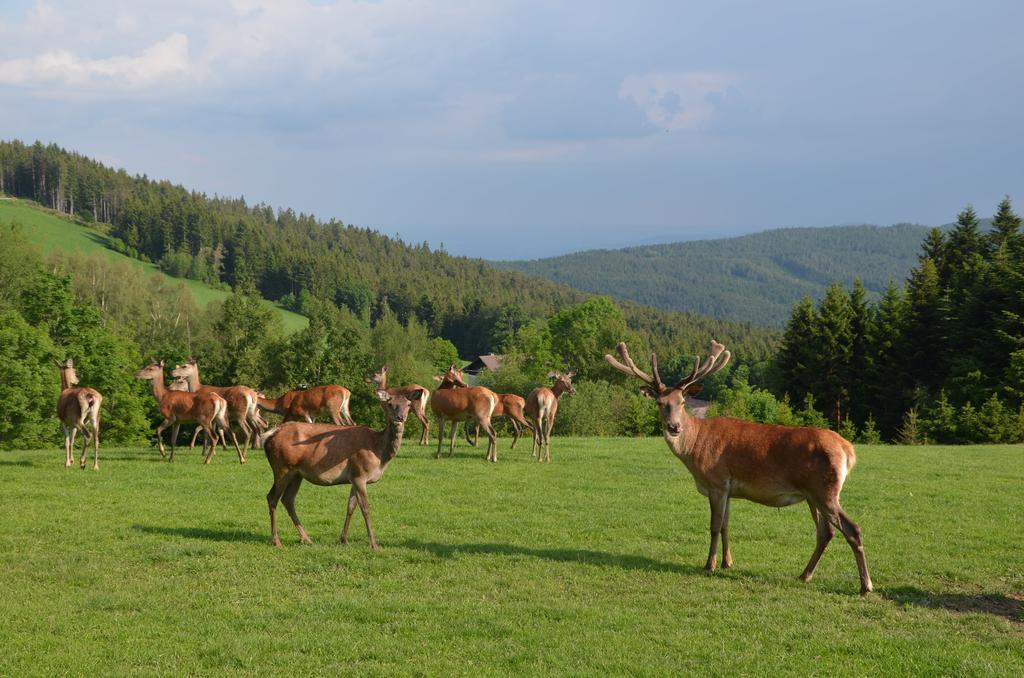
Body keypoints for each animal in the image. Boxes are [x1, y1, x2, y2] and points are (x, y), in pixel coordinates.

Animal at [264, 391, 428, 548]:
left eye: (408, 404)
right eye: (390, 403)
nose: (399, 418)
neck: (379, 452)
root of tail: (269, 437)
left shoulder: (353, 476)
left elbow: (350, 507)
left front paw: (343, 539)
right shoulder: (360, 474)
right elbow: (365, 509)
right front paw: (373, 543)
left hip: (297, 474)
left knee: (288, 499)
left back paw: (306, 538)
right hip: (282, 467)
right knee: (272, 497)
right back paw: (276, 541)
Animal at [602, 340, 876, 594]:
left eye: (682, 401)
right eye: (660, 403)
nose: (674, 427)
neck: (694, 449)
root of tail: (848, 450)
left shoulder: (717, 481)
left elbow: (714, 526)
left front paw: (709, 565)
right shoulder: (730, 489)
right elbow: (726, 525)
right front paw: (728, 562)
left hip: (825, 490)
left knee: (853, 529)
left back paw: (866, 585)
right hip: (812, 495)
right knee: (825, 533)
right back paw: (805, 575)